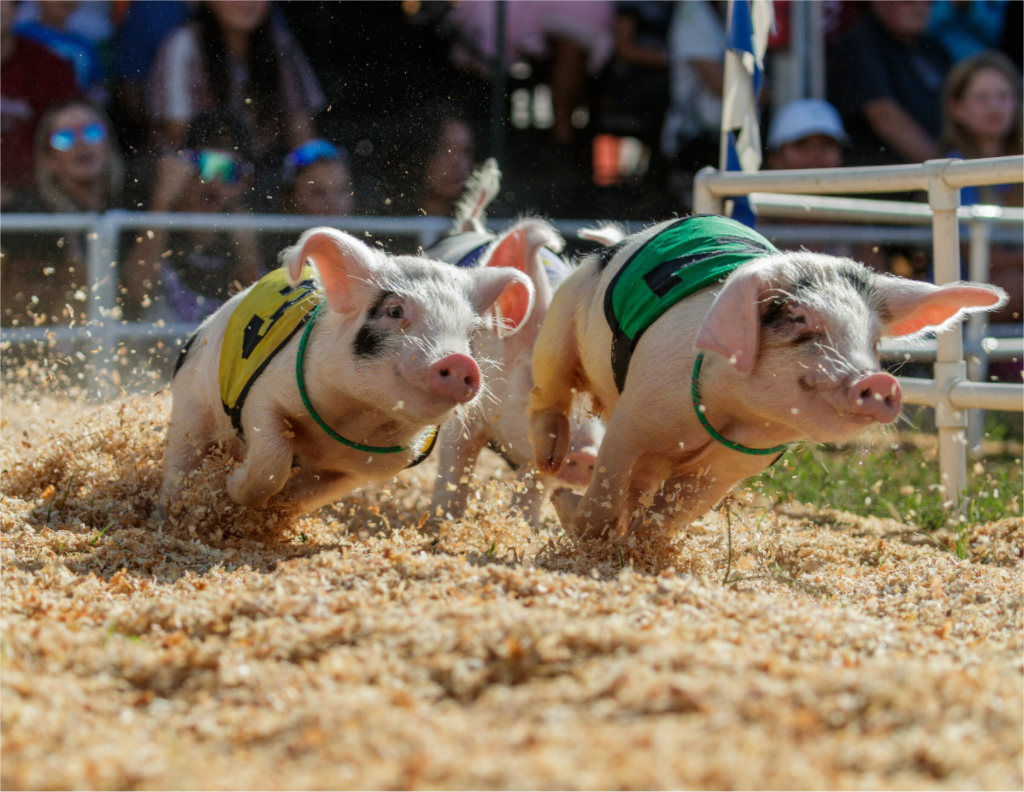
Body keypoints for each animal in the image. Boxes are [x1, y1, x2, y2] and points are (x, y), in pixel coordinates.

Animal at [161, 226, 534, 515]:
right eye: (394, 311)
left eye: (471, 334)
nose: (458, 360)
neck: (355, 420)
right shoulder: (263, 398)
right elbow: (273, 458)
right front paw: (232, 486)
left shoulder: (371, 468)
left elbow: (311, 493)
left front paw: (277, 513)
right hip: (189, 407)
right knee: (180, 462)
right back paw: (170, 513)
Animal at [427, 159, 605, 527]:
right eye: (537, 378)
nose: (587, 453)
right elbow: (454, 467)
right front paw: (442, 524)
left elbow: (533, 489)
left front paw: (525, 526)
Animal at [528, 214, 1007, 540]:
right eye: (798, 318)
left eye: (873, 339)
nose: (879, 382)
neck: (731, 410)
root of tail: (617, 243)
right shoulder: (634, 421)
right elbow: (606, 486)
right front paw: (571, 513)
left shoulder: (733, 464)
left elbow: (672, 512)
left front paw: (640, 544)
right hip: (559, 320)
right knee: (549, 390)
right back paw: (550, 460)